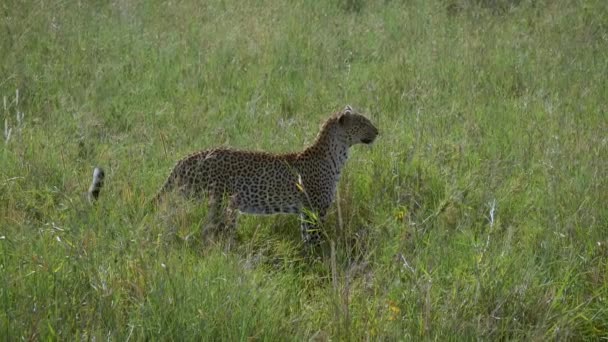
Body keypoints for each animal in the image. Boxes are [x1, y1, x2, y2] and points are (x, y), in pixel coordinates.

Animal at [154, 105, 378, 244]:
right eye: (363, 123)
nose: (378, 131)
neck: (337, 154)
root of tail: (184, 159)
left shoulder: (305, 212)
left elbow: (306, 238)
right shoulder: (315, 210)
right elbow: (315, 239)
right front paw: (317, 261)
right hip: (212, 202)